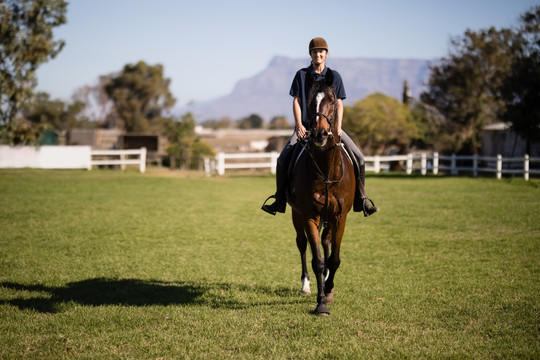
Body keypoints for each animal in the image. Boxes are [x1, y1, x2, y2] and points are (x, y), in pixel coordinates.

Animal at [286, 69, 358, 316]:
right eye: (309, 101)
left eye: (332, 101)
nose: (319, 134)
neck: (326, 169)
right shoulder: (310, 215)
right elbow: (317, 260)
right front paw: (321, 303)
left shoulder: (340, 216)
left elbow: (333, 259)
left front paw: (328, 289)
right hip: (297, 215)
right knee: (302, 244)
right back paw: (306, 285)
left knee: (326, 243)